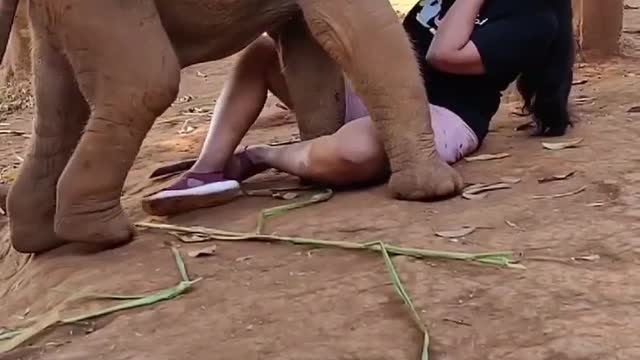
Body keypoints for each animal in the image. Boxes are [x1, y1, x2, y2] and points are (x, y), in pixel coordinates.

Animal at [0, 0, 462, 253]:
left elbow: (310, 48)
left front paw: (317, 174)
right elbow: (353, 30)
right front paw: (436, 191)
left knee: (61, 103)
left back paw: (44, 238)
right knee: (147, 84)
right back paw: (103, 233)